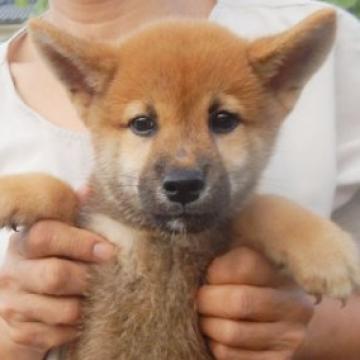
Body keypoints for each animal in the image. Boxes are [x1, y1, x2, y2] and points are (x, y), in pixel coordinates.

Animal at [0, 8, 358, 360]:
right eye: (143, 123)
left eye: (223, 120)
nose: (183, 185)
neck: (167, 242)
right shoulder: (96, 231)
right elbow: (61, 192)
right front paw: (12, 192)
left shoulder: (225, 237)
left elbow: (264, 205)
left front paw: (323, 250)